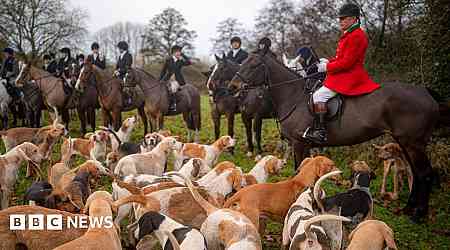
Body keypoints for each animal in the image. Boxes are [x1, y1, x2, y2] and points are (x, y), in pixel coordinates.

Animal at [230, 50, 442, 221]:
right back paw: (408, 209)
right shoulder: (302, 145)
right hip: (405, 143)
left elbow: (299, 170)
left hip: (413, 143)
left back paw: (418, 215)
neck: (293, 96)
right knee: (416, 173)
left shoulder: (300, 143)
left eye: (254, 64)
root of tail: (425, 91)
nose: (233, 86)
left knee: (424, 174)